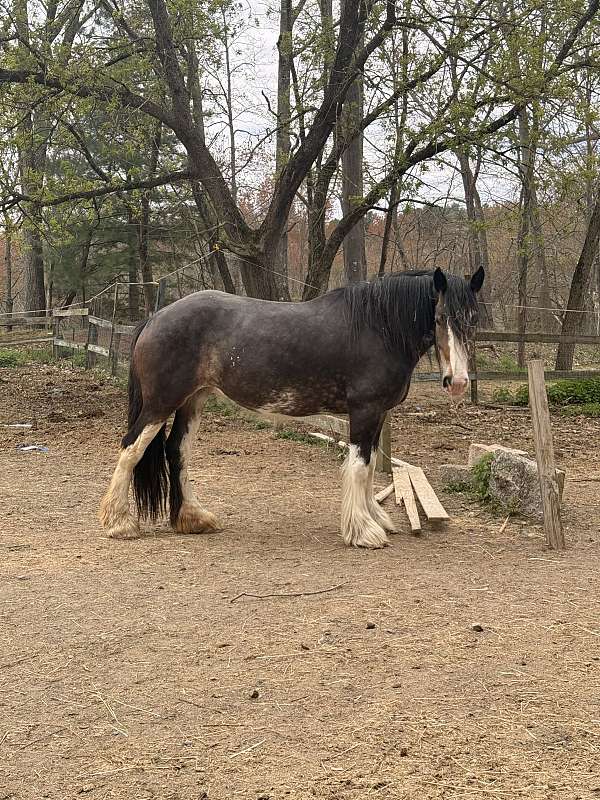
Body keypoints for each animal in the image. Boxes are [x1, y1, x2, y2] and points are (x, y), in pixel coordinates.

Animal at [99, 266, 484, 549]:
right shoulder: (366, 411)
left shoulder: (378, 415)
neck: (378, 327)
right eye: (439, 317)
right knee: (131, 449)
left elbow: (373, 465)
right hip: (161, 402)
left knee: (177, 451)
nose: (458, 381)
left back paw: (193, 518)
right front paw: (363, 532)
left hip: (194, 400)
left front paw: (376, 519)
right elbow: (360, 468)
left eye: (473, 318)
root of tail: (156, 317)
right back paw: (119, 523)